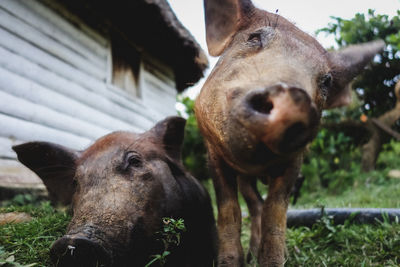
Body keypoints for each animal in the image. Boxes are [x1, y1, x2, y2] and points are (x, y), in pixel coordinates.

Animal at [194, 1, 384, 266]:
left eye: (326, 81)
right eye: (254, 38)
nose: (293, 99)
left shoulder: (295, 161)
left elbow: (275, 212)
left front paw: (275, 260)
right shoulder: (214, 153)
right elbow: (229, 209)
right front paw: (230, 263)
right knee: (254, 203)